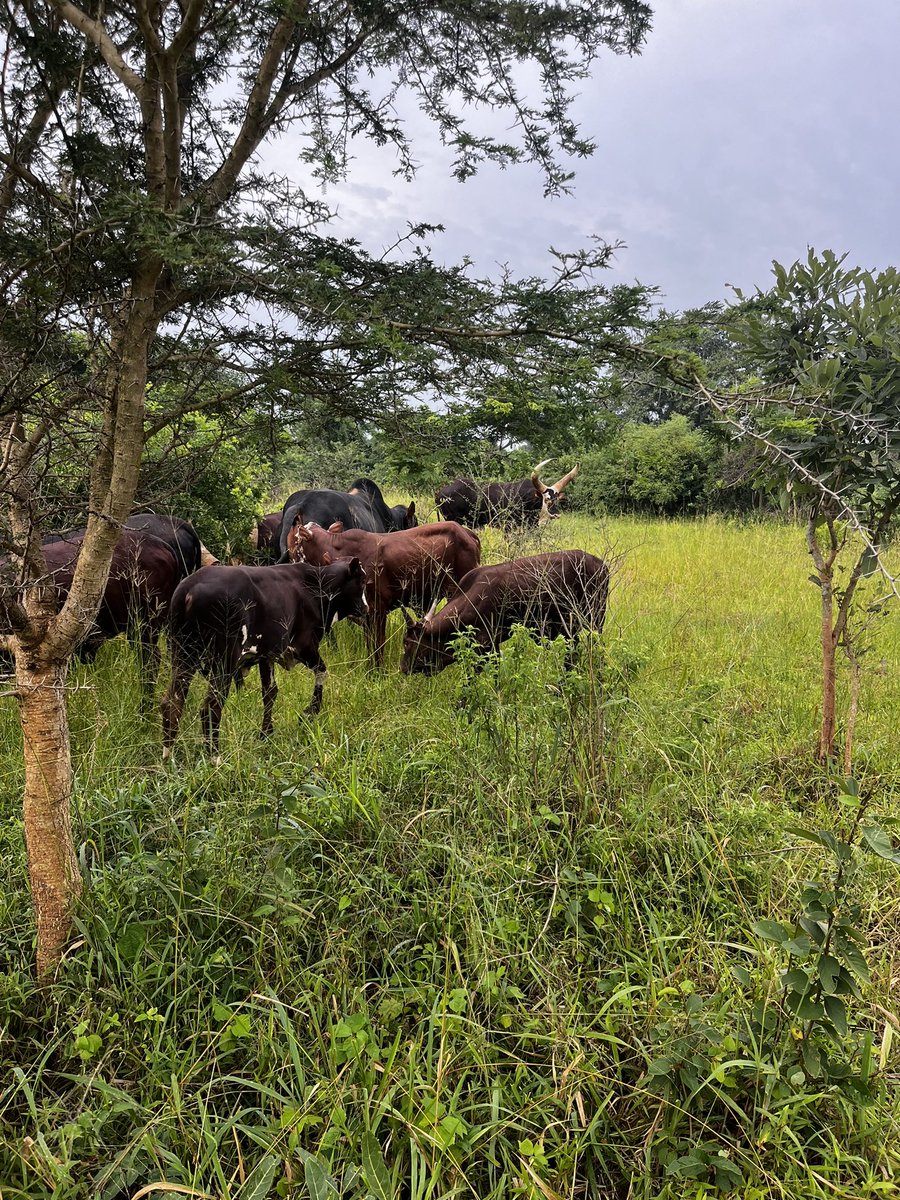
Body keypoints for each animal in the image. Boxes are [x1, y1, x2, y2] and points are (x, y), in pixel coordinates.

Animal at [160, 557, 368, 757]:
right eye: (363, 581)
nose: (366, 608)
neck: (316, 587)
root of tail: (190, 589)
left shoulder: (266, 655)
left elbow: (270, 693)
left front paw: (266, 734)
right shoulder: (304, 646)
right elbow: (322, 671)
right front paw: (310, 712)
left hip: (183, 655)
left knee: (172, 703)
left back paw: (167, 756)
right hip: (223, 662)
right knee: (211, 708)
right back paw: (215, 757)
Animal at [287, 519, 482, 667]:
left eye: (296, 542)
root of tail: (467, 533)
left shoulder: (377, 610)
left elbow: (378, 646)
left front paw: (378, 673)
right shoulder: (366, 616)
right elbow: (370, 646)